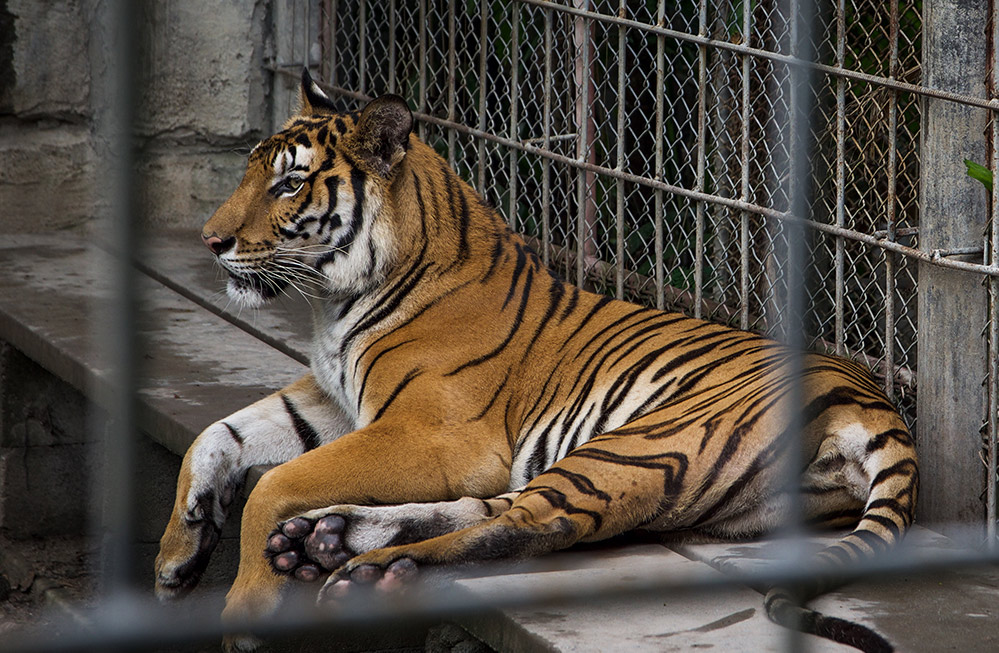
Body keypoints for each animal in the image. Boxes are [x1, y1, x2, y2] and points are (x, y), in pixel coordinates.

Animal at [154, 69, 920, 648]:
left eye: (288, 185)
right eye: (254, 171)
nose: (212, 240)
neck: (334, 303)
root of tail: (873, 402)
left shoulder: (433, 432)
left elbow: (273, 485)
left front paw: (246, 607)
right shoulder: (330, 398)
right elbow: (216, 435)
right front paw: (175, 555)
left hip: (641, 443)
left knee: (531, 524)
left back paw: (364, 564)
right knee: (501, 509)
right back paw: (331, 535)